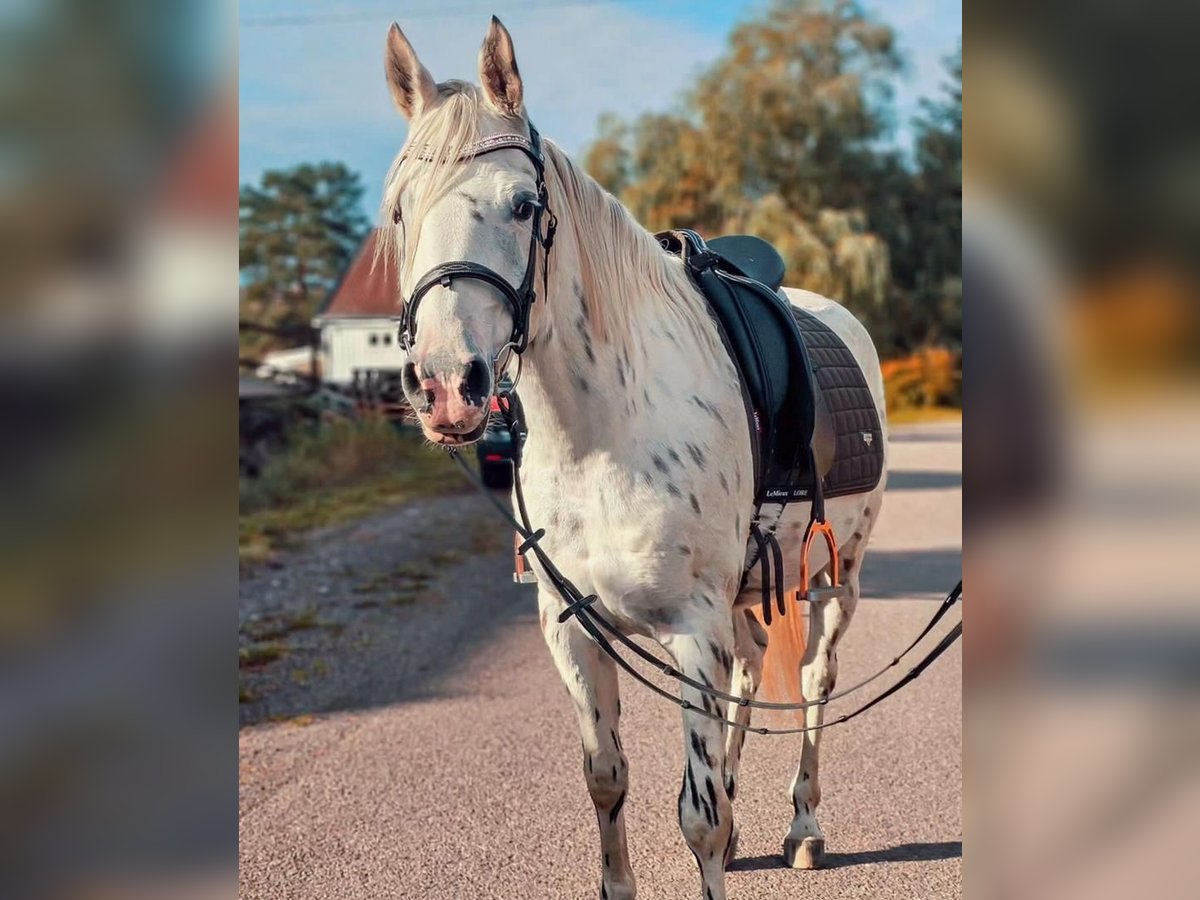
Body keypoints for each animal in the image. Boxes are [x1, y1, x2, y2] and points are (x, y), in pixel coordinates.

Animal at [379, 19, 888, 900]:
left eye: (522, 205)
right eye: (402, 209)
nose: (445, 384)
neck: (600, 439)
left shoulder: (690, 628)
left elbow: (698, 815)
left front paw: (730, 831)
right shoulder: (573, 633)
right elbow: (607, 779)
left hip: (835, 580)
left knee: (813, 686)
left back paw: (804, 825)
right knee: (750, 675)